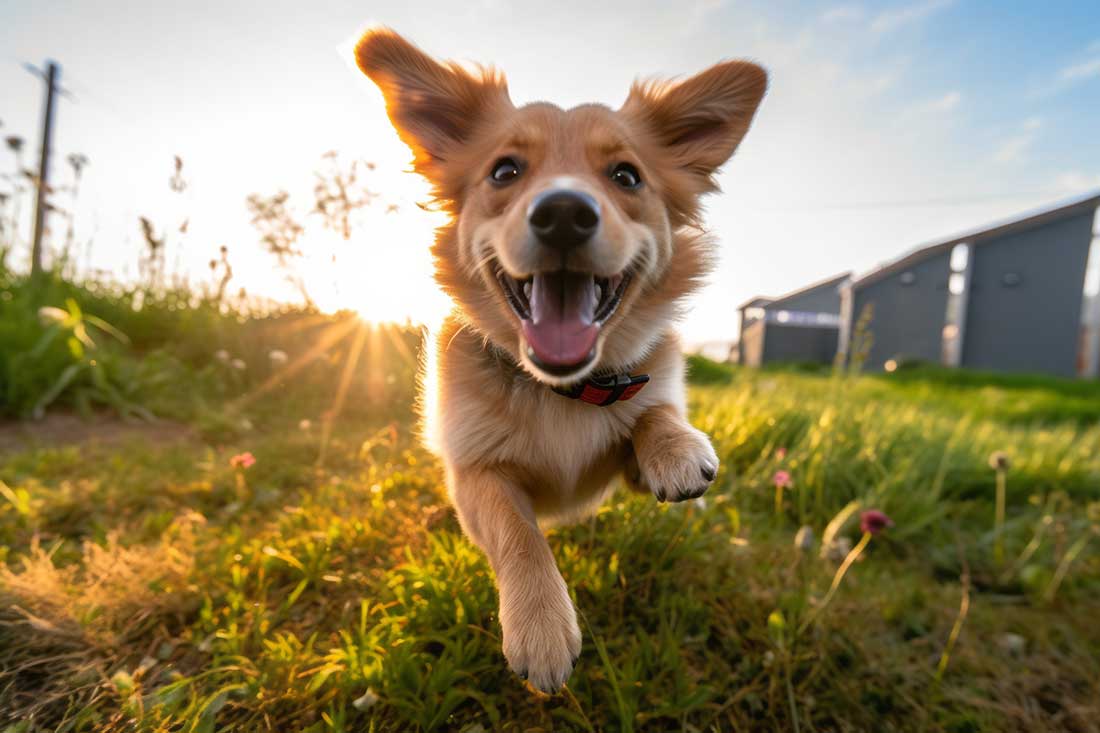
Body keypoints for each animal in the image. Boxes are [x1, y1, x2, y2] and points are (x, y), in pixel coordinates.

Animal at [352, 29, 765, 691]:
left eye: (626, 176)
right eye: (505, 170)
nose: (565, 212)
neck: (560, 389)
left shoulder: (626, 458)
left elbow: (652, 409)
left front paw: (677, 448)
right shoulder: (475, 473)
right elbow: (518, 530)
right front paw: (541, 625)